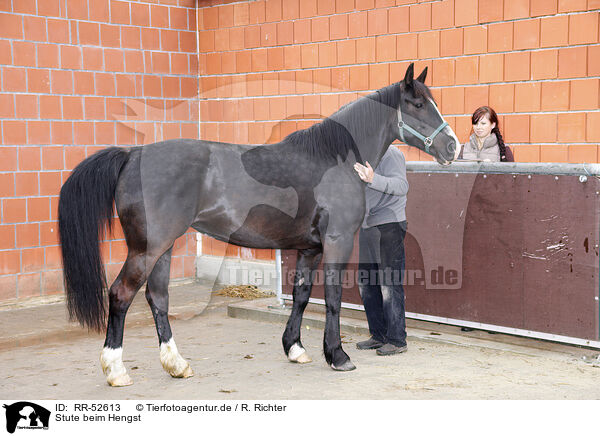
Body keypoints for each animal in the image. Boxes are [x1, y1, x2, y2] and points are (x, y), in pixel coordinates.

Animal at [58, 63, 462, 384]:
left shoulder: (309, 248)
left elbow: (301, 295)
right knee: (120, 295)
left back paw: (177, 364)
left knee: (157, 297)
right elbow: (331, 297)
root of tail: (133, 154)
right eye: (418, 104)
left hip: (164, 248)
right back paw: (116, 370)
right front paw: (338, 355)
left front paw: (295, 348)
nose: (452, 147)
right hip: (147, 249)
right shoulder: (337, 241)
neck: (335, 160)